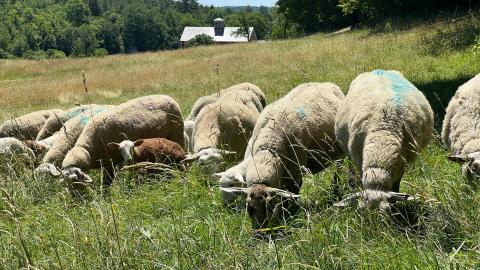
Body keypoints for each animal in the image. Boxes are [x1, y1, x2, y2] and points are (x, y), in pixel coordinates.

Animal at [219, 83, 346, 230]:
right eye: (249, 208)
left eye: (269, 206)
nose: (260, 232)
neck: (267, 151)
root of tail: (325, 83)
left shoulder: (295, 174)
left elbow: (290, 197)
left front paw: (288, 214)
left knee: (339, 170)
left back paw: (336, 189)